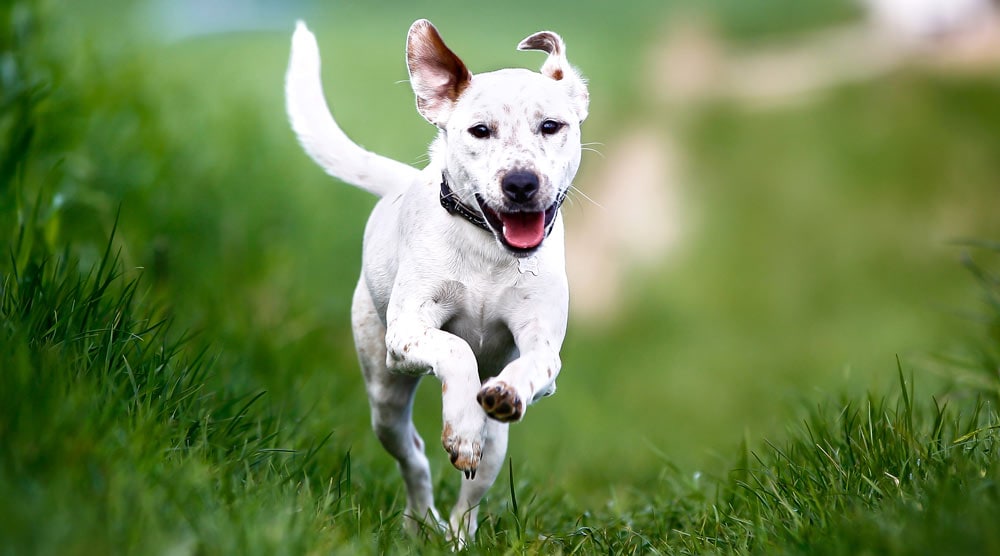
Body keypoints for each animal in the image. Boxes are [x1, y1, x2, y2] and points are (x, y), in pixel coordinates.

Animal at [284, 19, 584, 540]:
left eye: (551, 126)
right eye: (480, 130)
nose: (521, 183)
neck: (489, 249)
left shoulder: (542, 347)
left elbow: (534, 364)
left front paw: (503, 393)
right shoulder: (407, 333)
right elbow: (456, 348)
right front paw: (460, 424)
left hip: (495, 450)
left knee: (471, 496)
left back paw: (458, 535)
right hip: (384, 398)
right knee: (416, 458)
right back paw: (422, 519)